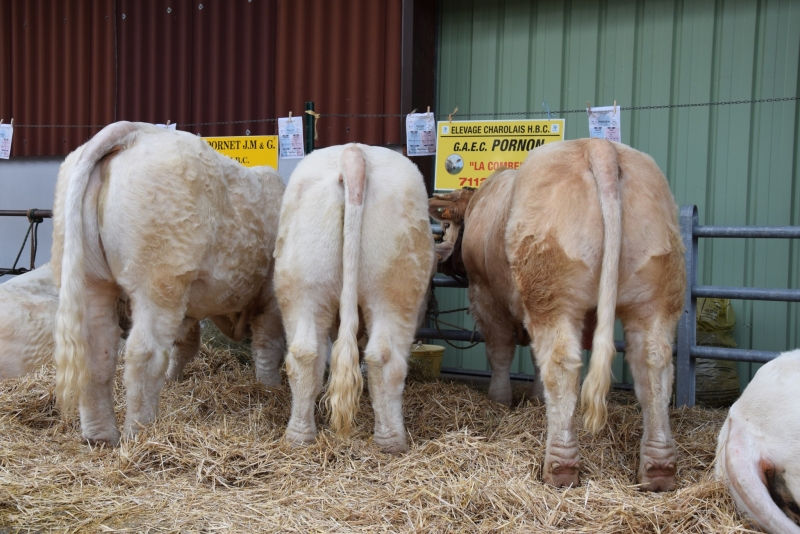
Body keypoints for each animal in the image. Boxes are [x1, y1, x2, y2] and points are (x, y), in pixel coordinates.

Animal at [53, 122, 286, 448]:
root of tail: (134, 131)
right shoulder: (271, 300)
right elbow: (269, 347)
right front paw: (270, 388)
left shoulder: (190, 306)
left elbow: (185, 344)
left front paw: (174, 379)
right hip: (159, 281)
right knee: (144, 353)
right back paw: (140, 432)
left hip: (91, 279)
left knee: (97, 350)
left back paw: (100, 436)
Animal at [276, 144, 438, 454]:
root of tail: (353, 152)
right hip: (394, 292)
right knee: (384, 358)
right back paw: (392, 441)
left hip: (303, 285)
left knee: (305, 353)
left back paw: (299, 436)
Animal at [428, 139, 684, 494]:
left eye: (446, 227)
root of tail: (598, 145)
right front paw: (536, 399)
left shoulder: (485, 297)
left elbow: (500, 352)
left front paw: (499, 400)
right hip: (655, 292)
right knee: (653, 364)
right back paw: (658, 470)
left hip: (551, 293)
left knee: (561, 364)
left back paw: (560, 467)